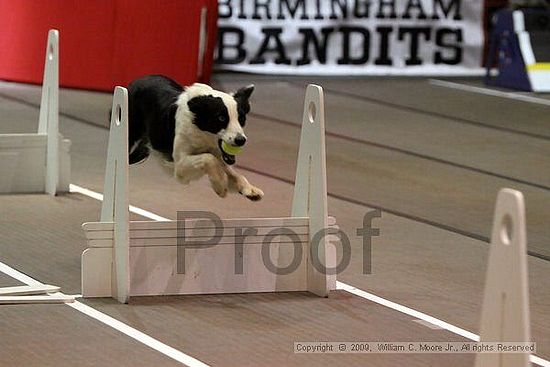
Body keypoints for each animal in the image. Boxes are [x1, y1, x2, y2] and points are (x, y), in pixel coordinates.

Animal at [130, 75, 268, 201]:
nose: (241, 140)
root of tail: (137, 81)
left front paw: (249, 189)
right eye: (221, 118)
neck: (201, 132)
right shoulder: (179, 167)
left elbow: (233, 173)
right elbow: (209, 158)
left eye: (242, 119)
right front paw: (219, 184)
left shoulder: (219, 155)